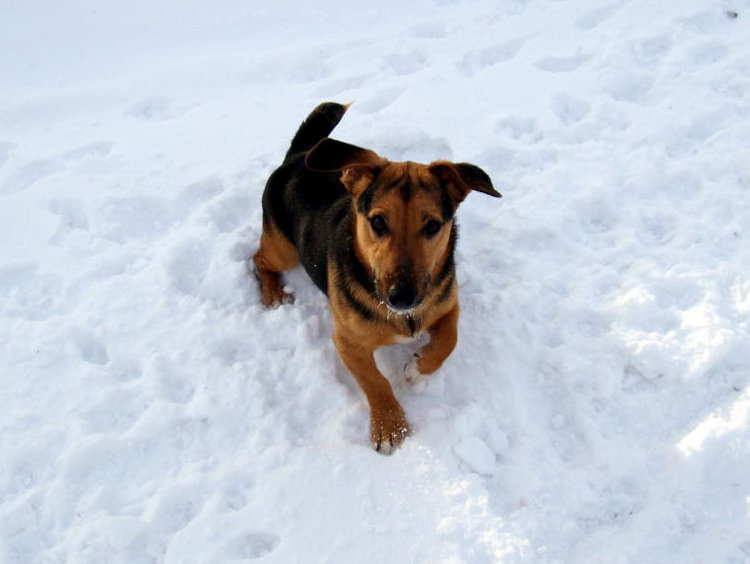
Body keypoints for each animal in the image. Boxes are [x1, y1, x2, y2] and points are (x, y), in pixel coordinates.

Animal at [256, 102, 502, 454]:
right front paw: (390, 426)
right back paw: (273, 292)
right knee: (258, 258)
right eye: (378, 222)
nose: (402, 297)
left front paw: (418, 369)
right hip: (283, 249)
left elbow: (449, 340)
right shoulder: (347, 341)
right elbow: (374, 380)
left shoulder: (447, 304)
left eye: (432, 225)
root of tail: (298, 155)